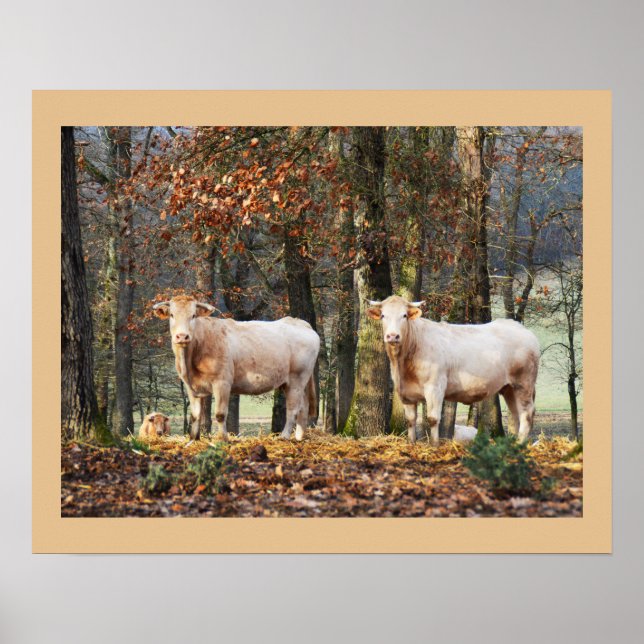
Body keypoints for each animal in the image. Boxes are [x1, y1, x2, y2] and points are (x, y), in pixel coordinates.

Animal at [153, 295, 320, 442]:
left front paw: (223, 439)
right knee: (304, 407)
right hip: (298, 382)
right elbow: (195, 415)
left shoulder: (222, 382)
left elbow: (220, 414)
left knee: (293, 409)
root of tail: (299, 322)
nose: (182, 336)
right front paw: (193, 439)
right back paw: (299, 437)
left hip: (296, 379)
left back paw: (284, 436)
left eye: (193, 315)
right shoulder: (191, 386)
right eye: (172, 315)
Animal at [366, 295, 540, 445]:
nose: (392, 336)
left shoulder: (435, 387)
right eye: (383, 316)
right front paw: (411, 443)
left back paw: (520, 444)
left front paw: (434, 446)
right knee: (516, 414)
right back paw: (513, 443)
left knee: (526, 414)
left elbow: (432, 418)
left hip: (523, 383)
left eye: (404, 315)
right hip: (509, 388)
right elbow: (410, 420)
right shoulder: (405, 393)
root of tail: (521, 329)